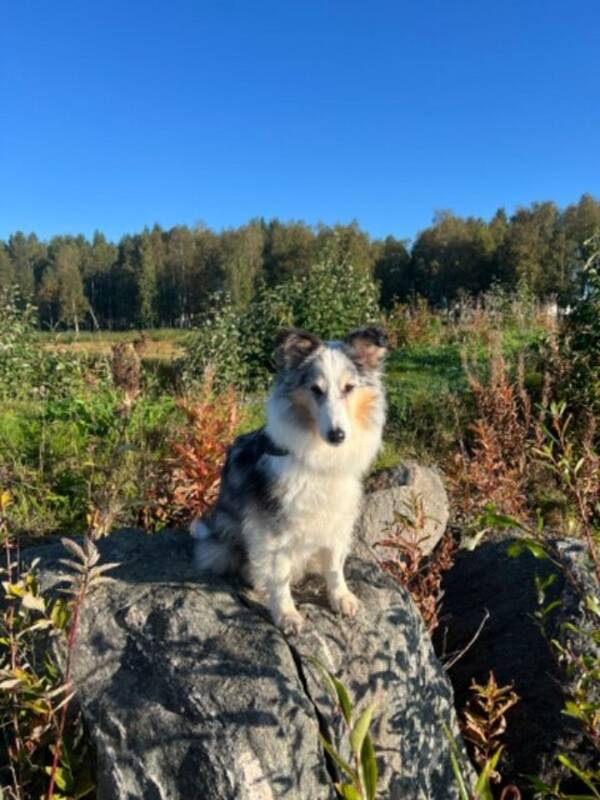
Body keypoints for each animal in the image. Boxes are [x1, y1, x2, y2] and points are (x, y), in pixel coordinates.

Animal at [192, 324, 390, 632]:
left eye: (349, 388)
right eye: (316, 389)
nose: (337, 435)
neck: (319, 455)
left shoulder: (338, 516)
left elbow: (335, 564)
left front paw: (342, 598)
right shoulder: (273, 525)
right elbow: (278, 573)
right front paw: (286, 614)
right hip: (226, 543)